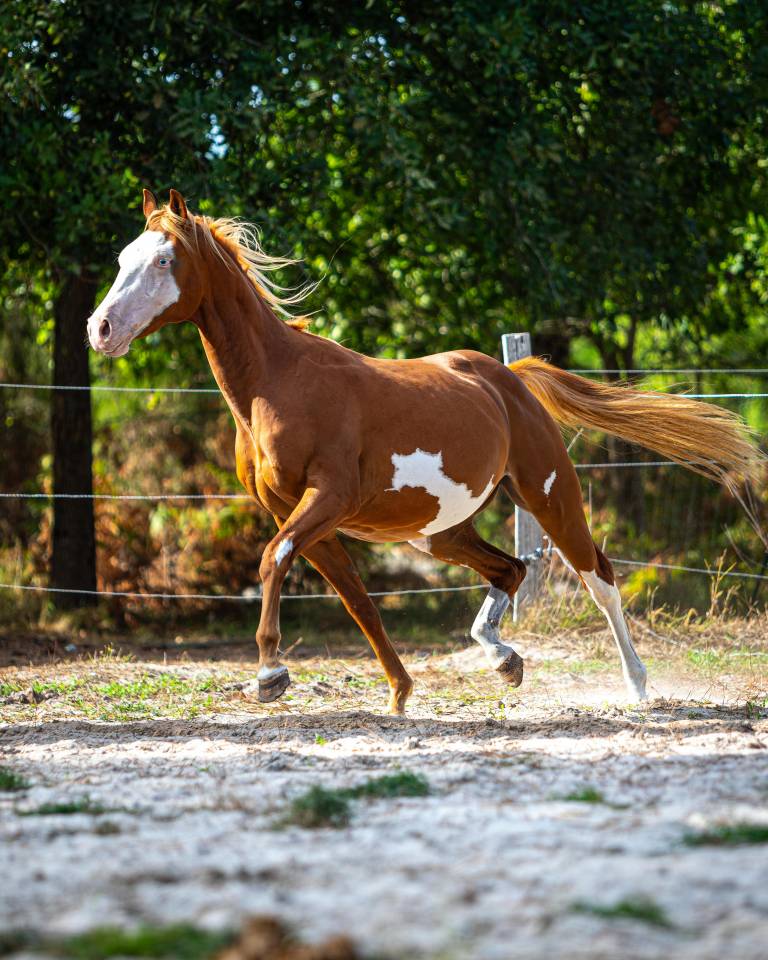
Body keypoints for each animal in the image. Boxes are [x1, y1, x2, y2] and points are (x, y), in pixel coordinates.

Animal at [87, 189, 763, 715]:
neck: (275, 383)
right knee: (510, 570)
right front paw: (399, 692)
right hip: (436, 531)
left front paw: (270, 676)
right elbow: (356, 600)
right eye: (121, 259)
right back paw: (505, 661)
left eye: (164, 259)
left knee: (598, 577)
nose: (100, 329)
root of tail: (510, 378)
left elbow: (273, 560)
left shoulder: (326, 499)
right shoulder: (302, 515)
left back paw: (637, 685)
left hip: (549, 496)